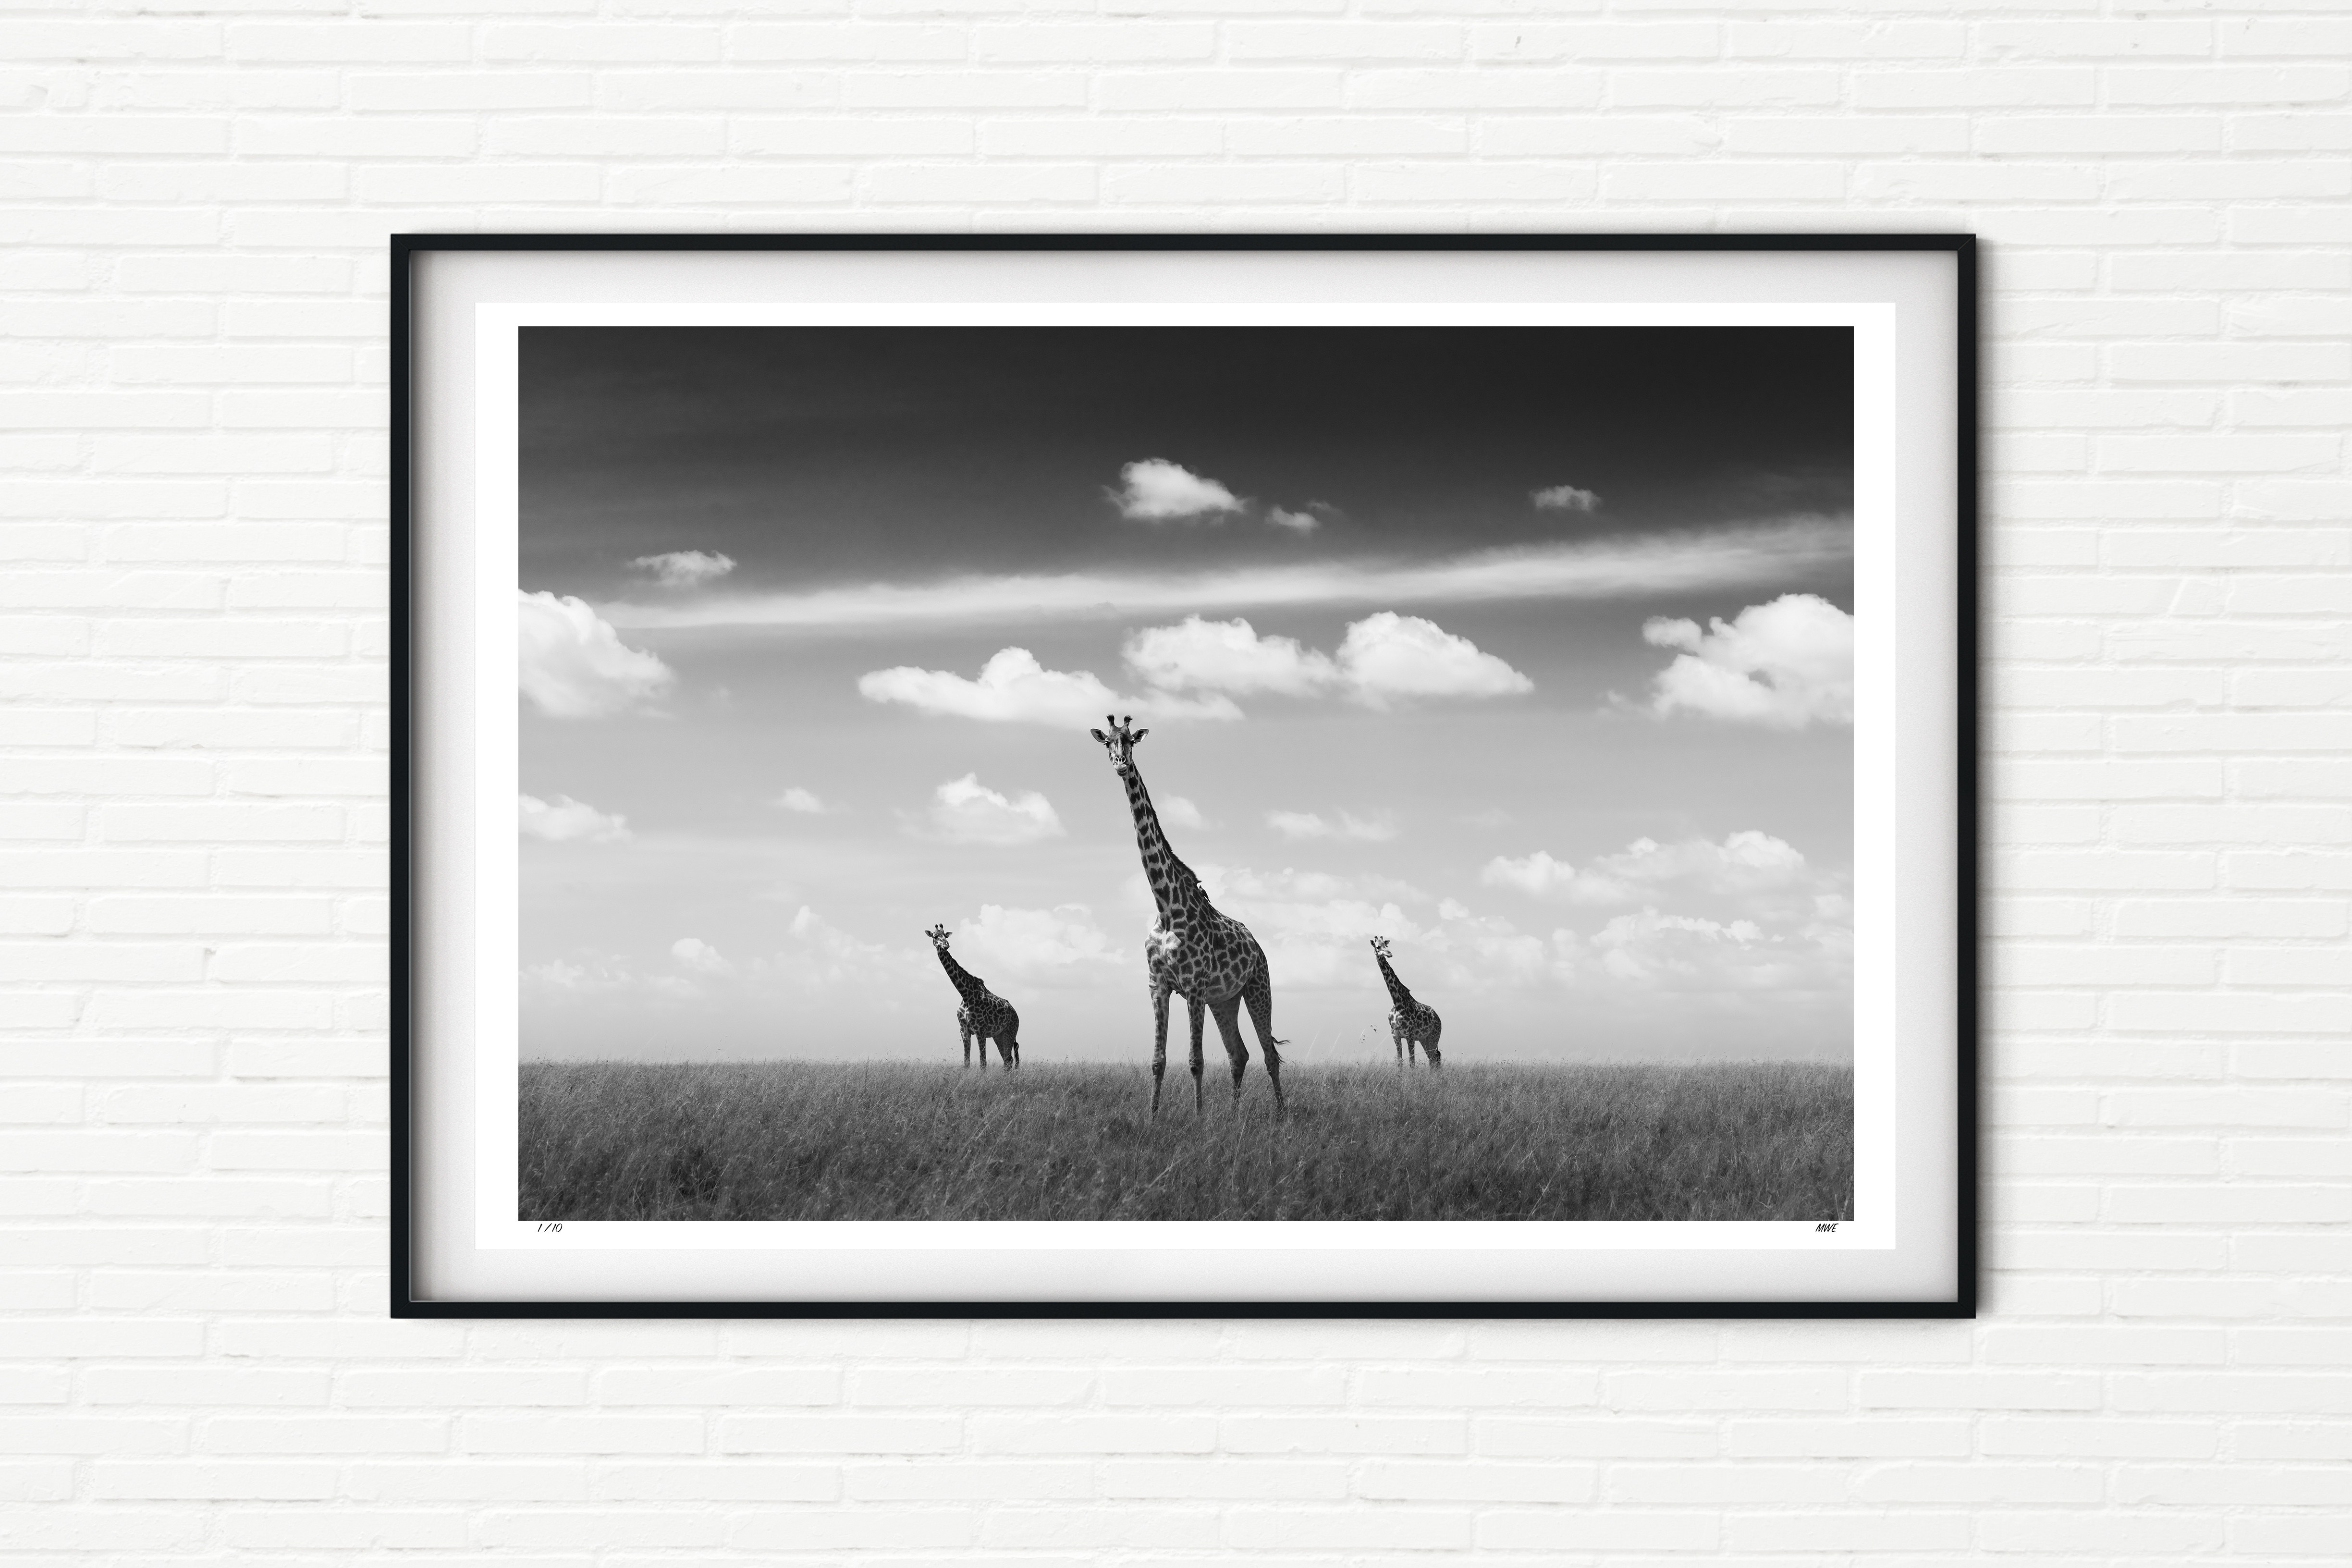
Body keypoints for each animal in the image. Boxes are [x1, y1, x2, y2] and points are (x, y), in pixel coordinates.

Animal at [924, 924, 1020, 1069]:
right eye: (935, 936)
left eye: (946, 936)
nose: (946, 945)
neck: (965, 994)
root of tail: (1016, 1014)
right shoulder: (964, 1031)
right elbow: (966, 1063)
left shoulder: (981, 1031)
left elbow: (983, 1064)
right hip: (999, 1035)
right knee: (1007, 1060)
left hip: (1010, 1032)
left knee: (1009, 1060)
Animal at [1088, 715, 1286, 1118]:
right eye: (1107, 744)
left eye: (1131, 741)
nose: (1120, 765)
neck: (1166, 904)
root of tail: (1258, 948)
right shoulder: (1158, 985)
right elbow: (1158, 1061)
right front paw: (1153, 1118)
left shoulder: (1194, 985)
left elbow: (1196, 1061)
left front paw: (1197, 1119)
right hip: (1224, 1000)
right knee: (1239, 1054)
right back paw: (1234, 1116)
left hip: (1258, 987)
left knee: (1268, 1055)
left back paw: (1282, 1115)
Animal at [1369, 936, 1442, 1069]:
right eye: (1378, 947)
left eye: (1387, 946)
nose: (1390, 954)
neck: (1397, 1001)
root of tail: (1437, 1017)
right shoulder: (1395, 1035)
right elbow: (1400, 1061)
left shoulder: (1410, 1035)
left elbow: (1412, 1062)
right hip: (1424, 1039)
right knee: (1433, 1058)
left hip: (1434, 1036)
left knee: (1434, 1059)